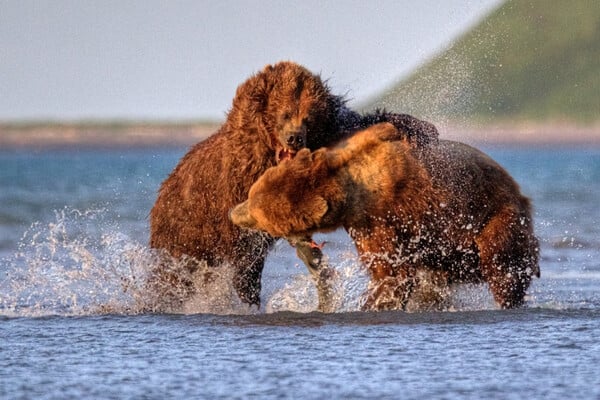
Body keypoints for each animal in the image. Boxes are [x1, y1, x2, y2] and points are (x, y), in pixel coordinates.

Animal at [150, 61, 440, 308]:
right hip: (184, 231)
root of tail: (164, 188)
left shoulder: (330, 140)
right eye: (284, 114)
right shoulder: (239, 180)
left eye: (308, 117)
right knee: (174, 274)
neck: (269, 155)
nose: (294, 138)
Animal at [230, 122, 540, 310]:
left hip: (494, 214)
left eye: (258, 214)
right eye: (253, 193)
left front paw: (373, 301)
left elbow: (390, 270)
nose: (234, 213)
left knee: (501, 260)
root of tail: (521, 193)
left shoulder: (381, 218)